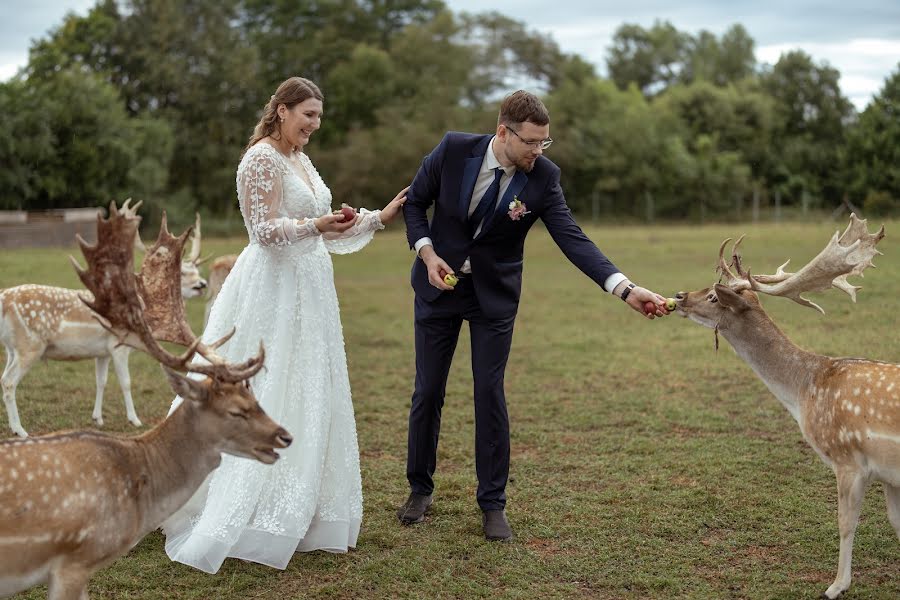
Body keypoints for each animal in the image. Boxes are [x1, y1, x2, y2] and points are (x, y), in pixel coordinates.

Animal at [0, 202, 207, 436]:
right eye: (182, 273)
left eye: (196, 269)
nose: (203, 284)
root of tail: (4, 299)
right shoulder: (119, 346)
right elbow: (126, 382)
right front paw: (134, 420)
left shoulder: (102, 352)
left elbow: (101, 381)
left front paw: (97, 418)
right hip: (30, 346)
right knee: (9, 382)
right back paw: (20, 430)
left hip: (12, 348)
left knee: (3, 378)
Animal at [672, 213, 888, 596]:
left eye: (713, 296)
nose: (680, 295)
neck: (806, 388)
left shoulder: (850, 461)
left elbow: (846, 523)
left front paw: (836, 586)